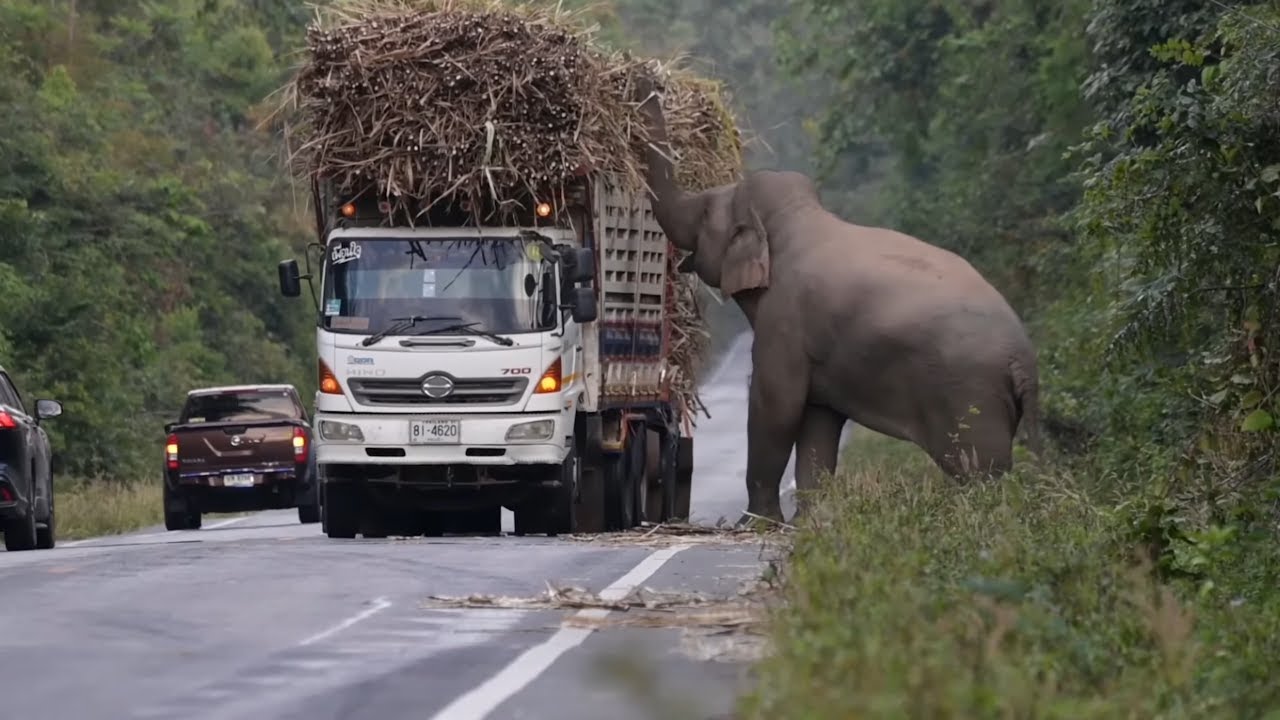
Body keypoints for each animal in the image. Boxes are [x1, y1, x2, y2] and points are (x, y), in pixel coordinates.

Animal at [629, 75, 1039, 525]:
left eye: (703, 213)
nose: (645, 80)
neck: (798, 216)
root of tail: (1023, 359)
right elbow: (818, 420)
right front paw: (810, 523)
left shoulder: (784, 321)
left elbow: (777, 405)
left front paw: (755, 524)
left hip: (969, 395)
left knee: (979, 471)